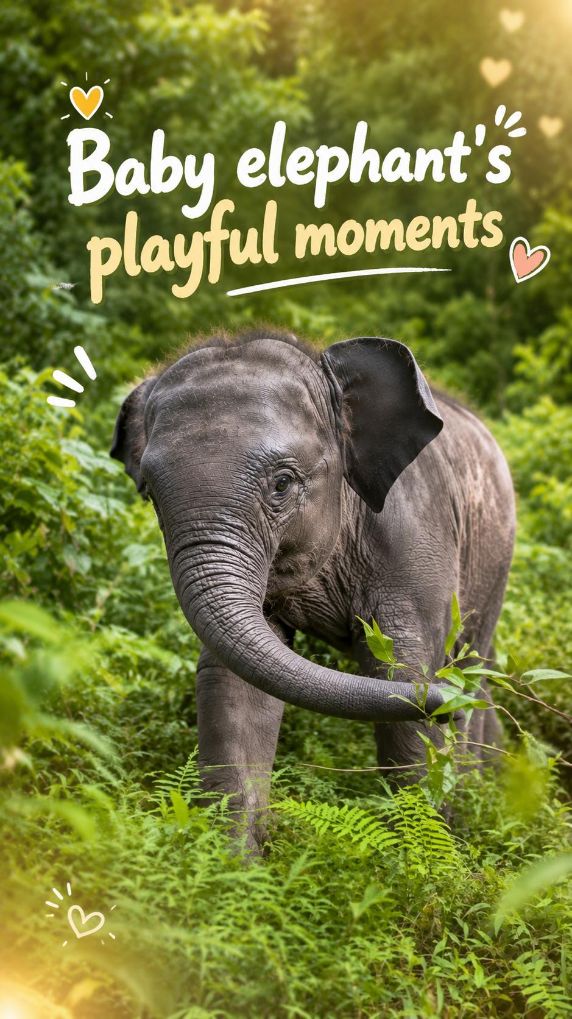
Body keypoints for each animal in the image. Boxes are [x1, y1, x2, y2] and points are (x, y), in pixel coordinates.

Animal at [111, 328, 515, 851]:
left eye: (282, 483)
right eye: (151, 496)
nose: (451, 709)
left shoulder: (417, 536)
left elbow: (404, 674)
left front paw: (427, 860)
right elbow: (236, 682)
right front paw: (233, 866)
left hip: (496, 556)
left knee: (472, 657)